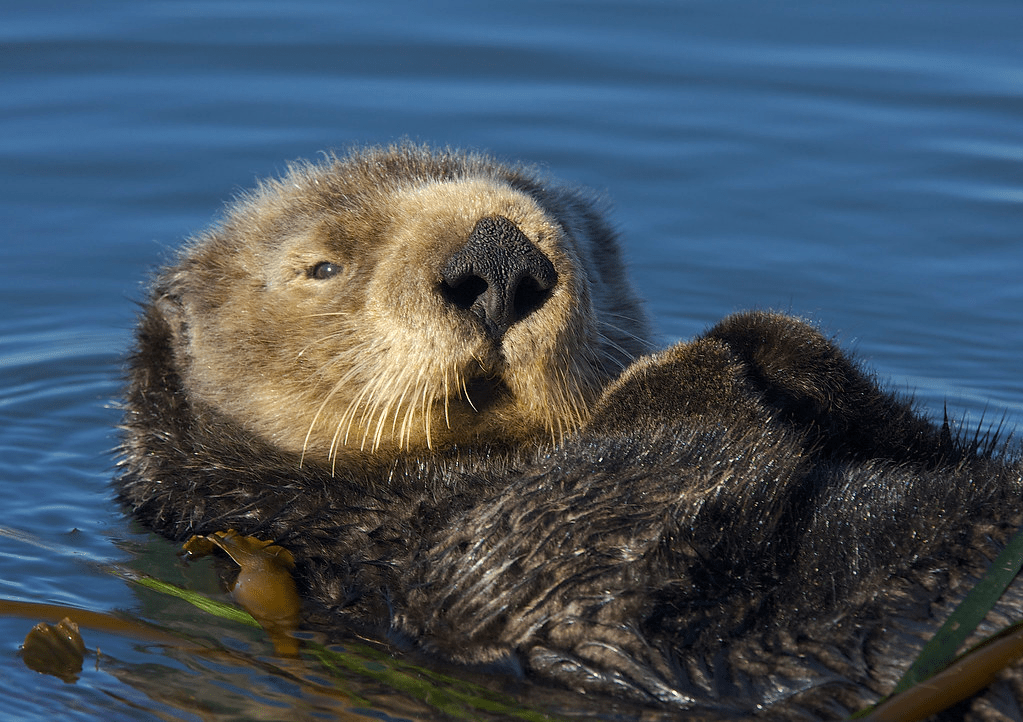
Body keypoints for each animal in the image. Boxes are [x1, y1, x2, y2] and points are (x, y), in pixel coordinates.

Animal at [118, 144, 1023, 719]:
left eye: (577, 234)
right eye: (323, 266)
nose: (499, 256)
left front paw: (771, 340)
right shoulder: (409, 566)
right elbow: (554, 549)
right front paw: (689, 362)